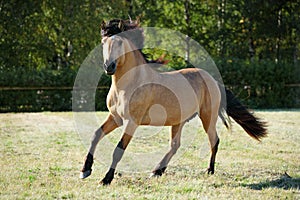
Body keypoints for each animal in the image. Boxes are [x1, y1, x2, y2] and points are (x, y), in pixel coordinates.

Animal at [79, 19, 268, 185]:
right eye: (103, 42)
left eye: (118, 42)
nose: (109, 67)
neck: (129, 84)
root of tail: (213, 80)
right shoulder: (115, 118)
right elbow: (95, 135)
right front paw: (85, 170)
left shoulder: (131, 122)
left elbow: (118, 150)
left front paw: (106, 179)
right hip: (179, 121)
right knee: (176, 146)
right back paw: (157, 171)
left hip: (208, 117)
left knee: (214, 140)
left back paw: (209, 170)